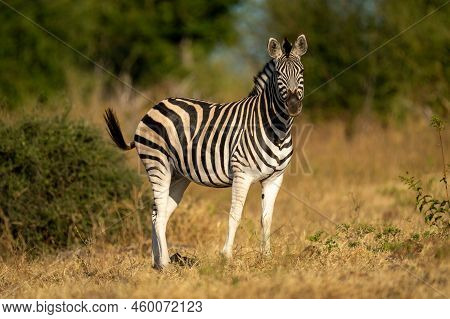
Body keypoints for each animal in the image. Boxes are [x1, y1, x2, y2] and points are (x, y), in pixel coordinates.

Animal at [103, 34, 308, 270]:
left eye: (302, 71)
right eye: (278, 75)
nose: (293, 106)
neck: (277, 128)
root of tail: (155, 106)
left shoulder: (275, 178)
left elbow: (266, 218)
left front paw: (267, 258)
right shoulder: (242, 174)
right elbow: (235, 214)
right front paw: (226, 256)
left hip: (178, 175)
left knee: (157, 213)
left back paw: (157, 262)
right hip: (157, 163)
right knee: (160, 212)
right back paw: (165, 263)